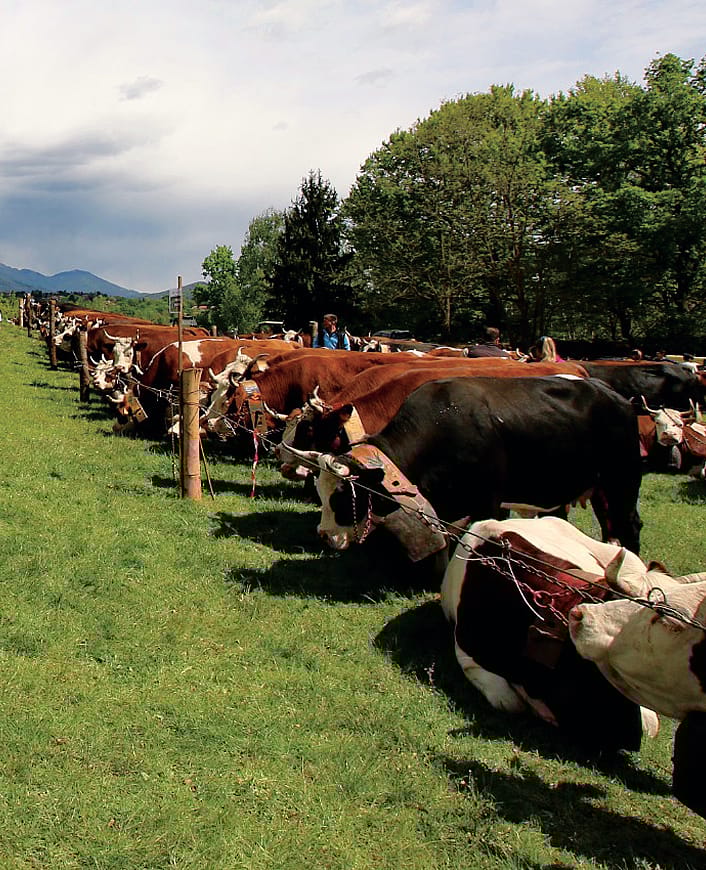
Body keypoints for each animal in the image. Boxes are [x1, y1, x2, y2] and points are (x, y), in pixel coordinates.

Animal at [295, 376, 642, 581]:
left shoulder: (488, 504)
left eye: (342, 497)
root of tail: (620, 399)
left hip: (621, 480)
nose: (324, 535)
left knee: (629, 524)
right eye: (320, 493)